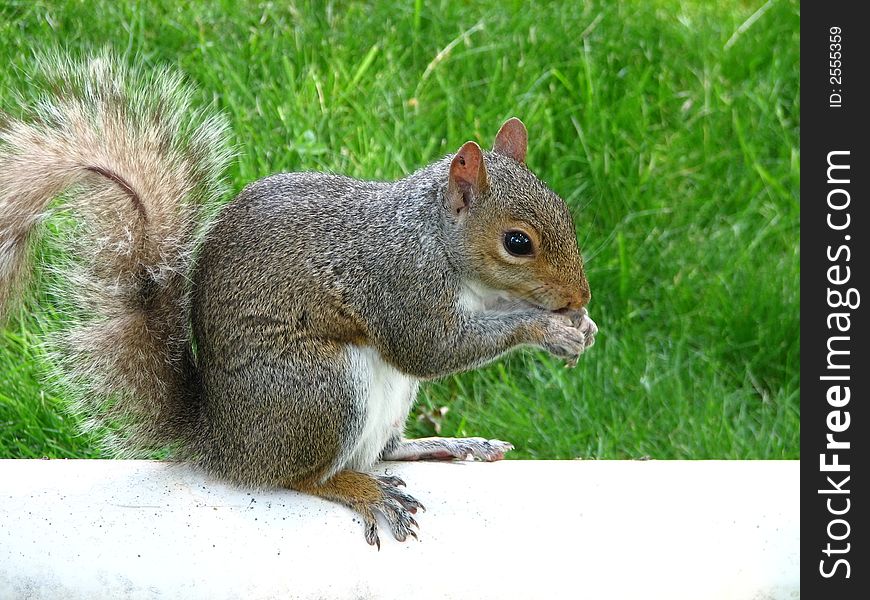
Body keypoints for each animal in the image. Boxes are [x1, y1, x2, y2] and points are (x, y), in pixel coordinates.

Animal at [0, 52, 600, 548]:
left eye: (567, 214)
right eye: (517, 243)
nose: (581, 294)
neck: (433, 236)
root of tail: (226, 443)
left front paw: (580, 327)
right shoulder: (399, 282)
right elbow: (427, 348)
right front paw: (547, 328)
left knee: (382, 450)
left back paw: (450, 446)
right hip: (320, 389)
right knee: (303, 477)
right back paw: (363, 490)